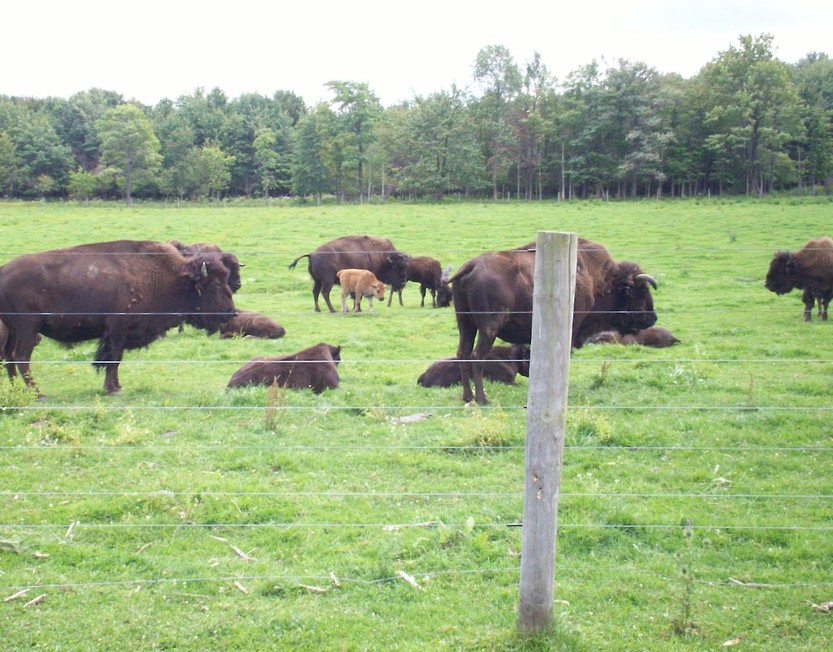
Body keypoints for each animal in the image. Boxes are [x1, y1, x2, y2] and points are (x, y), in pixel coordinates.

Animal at [0, 238, 237, 394]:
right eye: (215, 286)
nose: (231, 312)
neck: (171, 277)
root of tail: (3, 273)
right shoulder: (117, 329)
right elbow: (113, 358)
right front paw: (112, 388)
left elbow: (115, 359)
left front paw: (116, 385)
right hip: (28, 328)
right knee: (21, 356)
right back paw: (38, 393)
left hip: (13, 329)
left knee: (9, 355)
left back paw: (15, 390)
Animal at [448, 237, 656, 404]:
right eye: (641, 292)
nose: (653, 318)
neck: (597, 280)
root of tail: (471, 266)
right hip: (489, 328)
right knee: (477, 356)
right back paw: (482, 399)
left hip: (466, 325)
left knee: (463, 353)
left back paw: (467, 397)